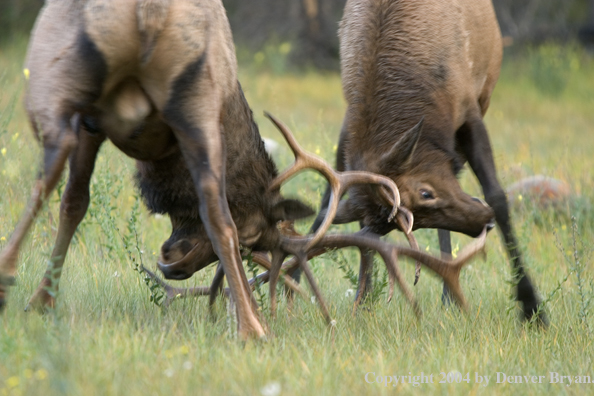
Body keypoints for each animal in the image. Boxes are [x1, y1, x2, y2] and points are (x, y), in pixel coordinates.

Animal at [310, 0, 544, 324]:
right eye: (406, 225)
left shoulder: (469, 110)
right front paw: (362, 299)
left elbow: (498, 197)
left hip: (483, 97)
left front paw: (532, 306)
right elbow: (332, 199)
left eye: (425, 192)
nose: (483, 223)